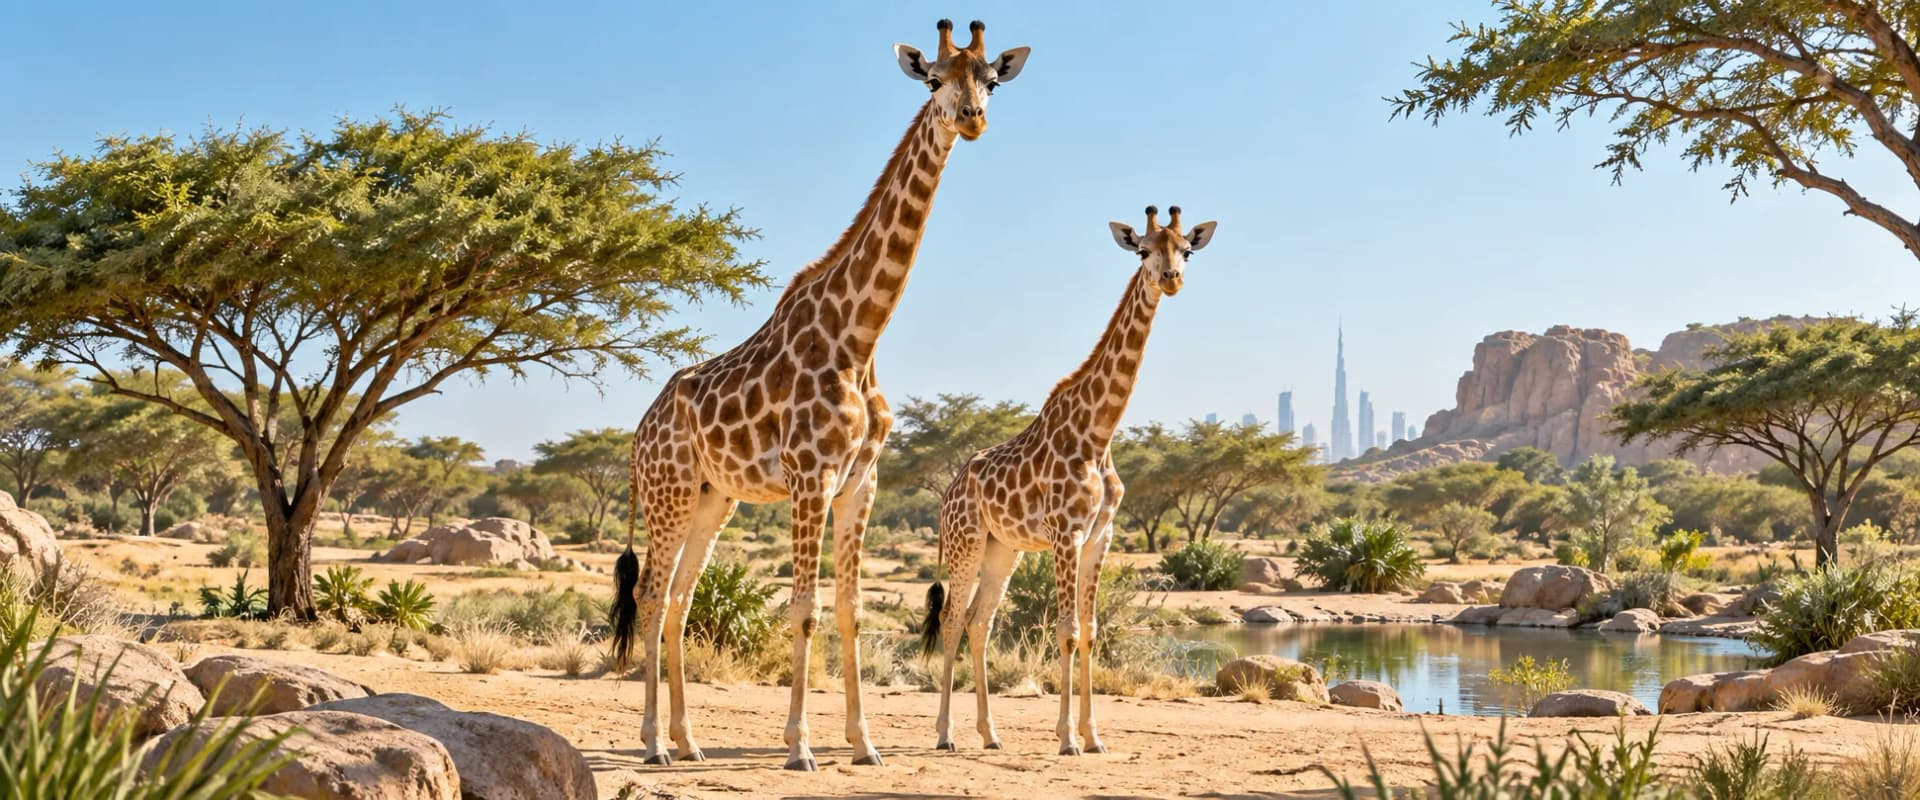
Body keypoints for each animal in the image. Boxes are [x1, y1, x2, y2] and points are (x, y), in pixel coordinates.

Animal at [607, 19, 1031, 772]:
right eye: (933, 80)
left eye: (991, 79)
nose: (972, 119)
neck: (860, 335)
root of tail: (639, 431)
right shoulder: (811, 475)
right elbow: (803, 609)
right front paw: (800, 747)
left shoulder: (861, 481)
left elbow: (849, 610)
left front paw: (864, 744)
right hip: (669, 490)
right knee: (653, 596)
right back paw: (654, 743)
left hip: (713, 500)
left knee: (681, 599)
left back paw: (688, 741)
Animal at [920, 205, 1218, 755]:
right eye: (1143, 251)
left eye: (1187, 249)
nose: (1171, 279)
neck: (1099, 433)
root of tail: (947, 491)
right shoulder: (1066, 532)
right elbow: (1066, 630)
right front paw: (1067, 739)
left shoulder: (1101, 534)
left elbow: (1092, 631)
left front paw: (1094, 736)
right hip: (965, 542)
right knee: (951, 620)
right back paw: (946, 733)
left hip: (1003, 548)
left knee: (979, 622)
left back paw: (990, 734)